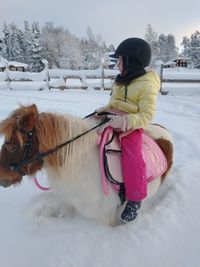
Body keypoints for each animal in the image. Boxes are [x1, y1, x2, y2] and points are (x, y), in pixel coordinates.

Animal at [0, 104, 173, 226]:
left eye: (12, 146)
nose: (1, 178)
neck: (81, 166)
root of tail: (164, 130)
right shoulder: (71, 202)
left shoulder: (106, 218)